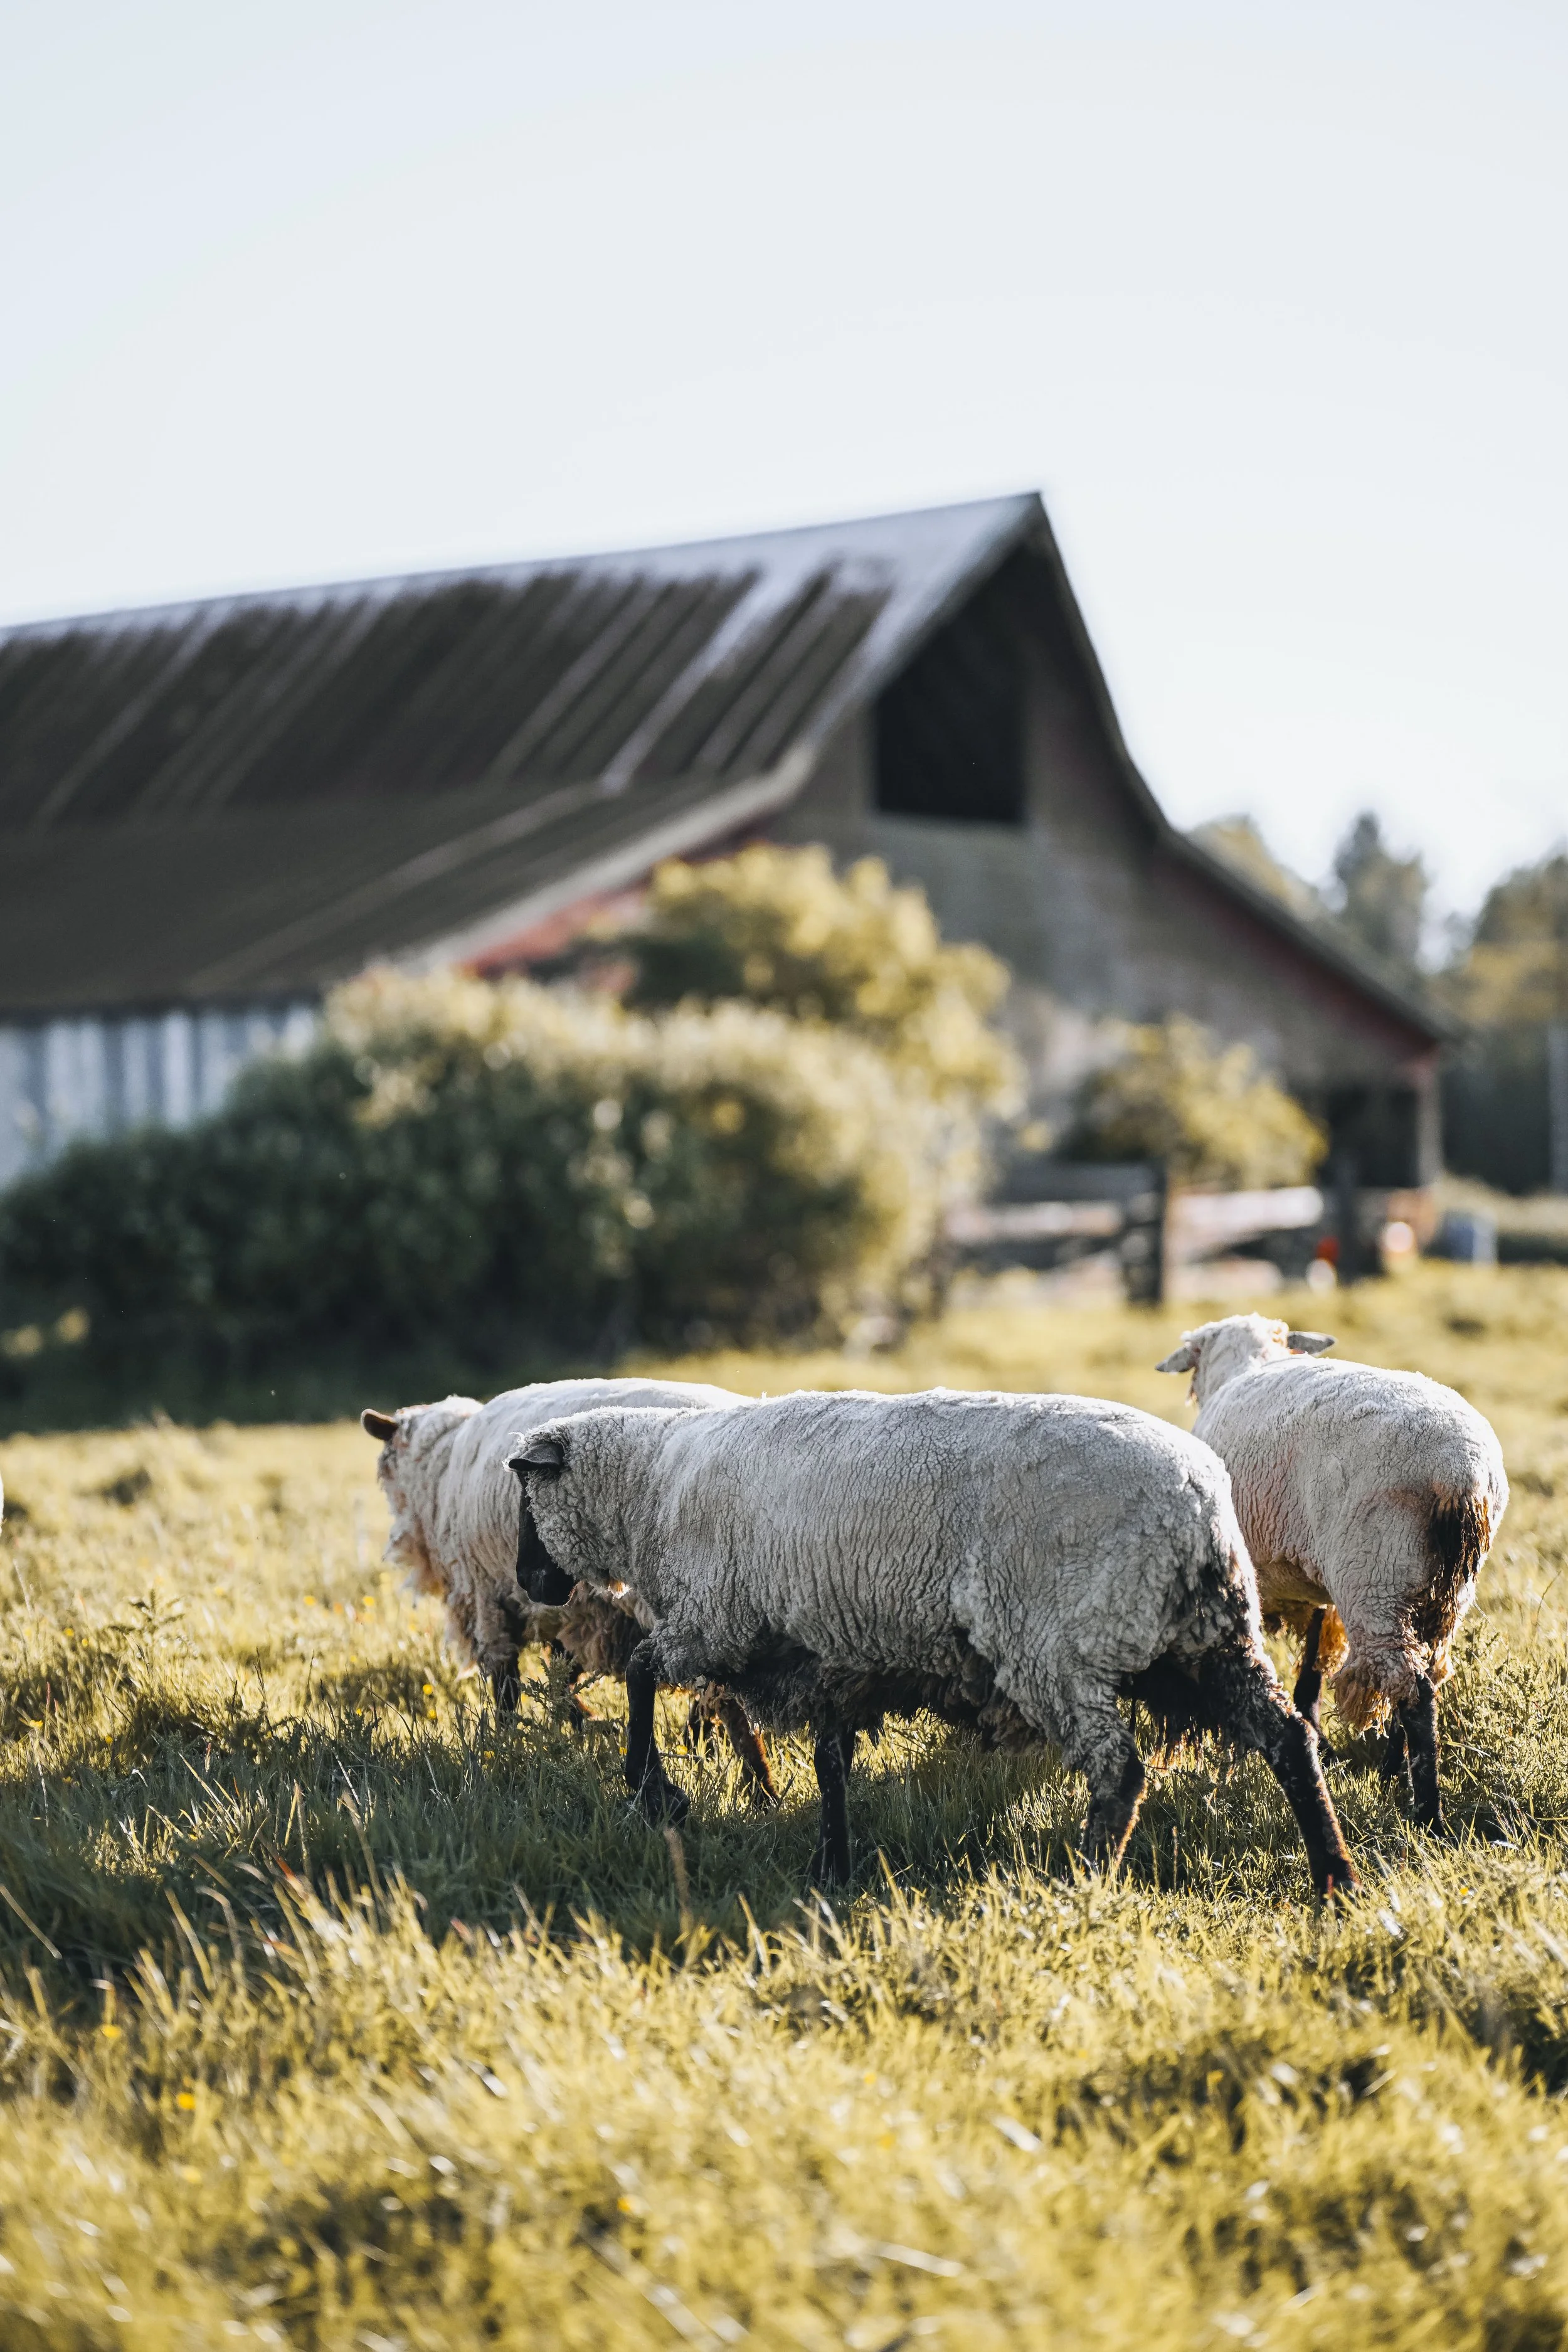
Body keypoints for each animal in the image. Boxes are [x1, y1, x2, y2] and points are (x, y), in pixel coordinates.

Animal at [359, 1379, 777, 1800]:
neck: (439, 1468)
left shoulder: (487, 1599)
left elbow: (508, 1689)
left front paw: (507, 1743)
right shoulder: (576, 1616)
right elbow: (560, 1679)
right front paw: (589, 1727)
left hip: (703, 1605)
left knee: (725, 1700)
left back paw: (758, 1785)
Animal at [506, 1387, 1357, 1899]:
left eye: (523, 1495)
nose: (530, 1582)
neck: (652, 1492)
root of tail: (1197, 1504)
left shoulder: (718, 1619)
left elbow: (641, 1671)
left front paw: (653, 1789)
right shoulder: (836, 1652)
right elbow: (831, 1764)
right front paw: (832, 1865)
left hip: (1052, 1647)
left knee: (1120, 1769)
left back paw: (1083, 1883)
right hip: (1207, 1638)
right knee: (1289, 1738)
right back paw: (1334, 1877)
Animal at [1155, 1314, 1509, 1831]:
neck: (1246, 1363)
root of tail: (1462, 1474)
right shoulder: (1315, 1583)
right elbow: (1312, 1667)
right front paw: (1314, 1731)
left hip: (1375, 1578)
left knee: (1413, 1690)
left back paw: (1425, 1813)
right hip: (1443, 1591)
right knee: (1419, 1674)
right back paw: (1392, 1775)